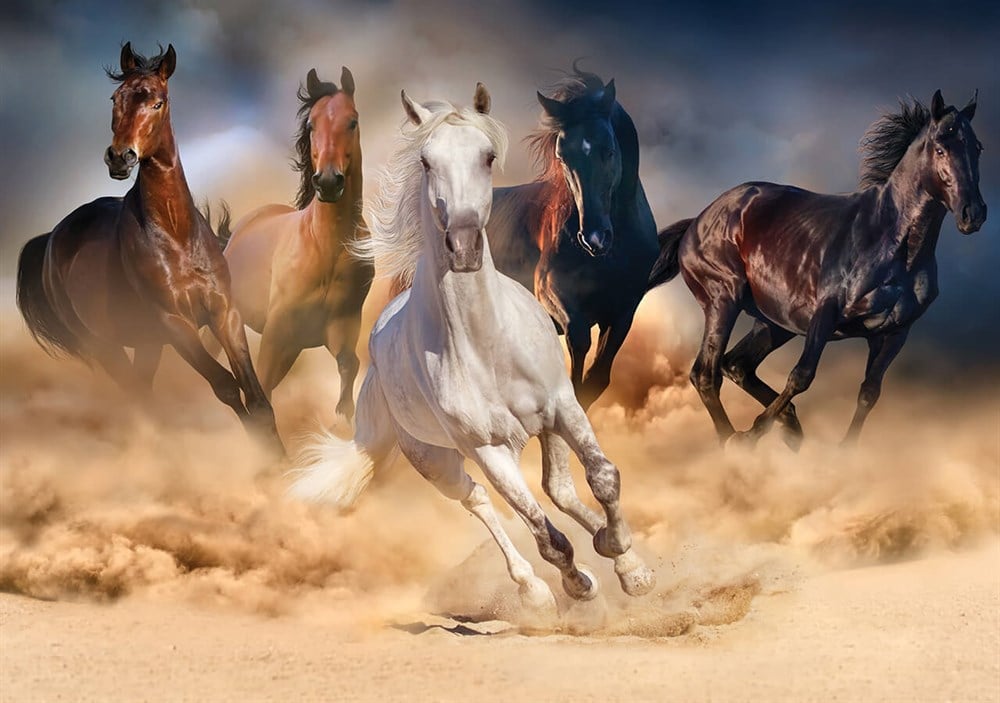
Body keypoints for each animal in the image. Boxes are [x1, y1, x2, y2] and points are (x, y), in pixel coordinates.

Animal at [14, 43, 282, 453]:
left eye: (158, 102)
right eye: (115, 98)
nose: (119, 157)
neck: (177, 235)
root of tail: (51, 239)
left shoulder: (224, 313)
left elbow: (256, 396)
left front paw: (283, 460)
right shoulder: (174, 323)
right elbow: (225, 387)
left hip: (146, 344)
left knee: (142, 391)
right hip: (104, 346)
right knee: (139, 397)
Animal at [220, 68, 371, 420]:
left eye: (352, 121)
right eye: (312, 124)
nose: (328, 181)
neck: (326, 248)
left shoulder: (340, 328)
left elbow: (349, 368)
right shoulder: (277, 333)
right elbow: (261, 391)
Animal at [475, 66, 660, 410]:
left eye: (609, 150)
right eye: (562, 157)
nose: (594, 238)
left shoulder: (623, 312)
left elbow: (597, 378)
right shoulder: (553, 292)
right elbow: (577, 344)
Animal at [649, 90, 986, 447]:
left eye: (977, 147)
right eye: (940, 148)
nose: (973, 213)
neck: (893, 245)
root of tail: (696, 221)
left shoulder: (895, 333)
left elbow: (869, 393)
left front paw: (841, 451)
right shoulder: (825, 314)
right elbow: (801, 376)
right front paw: (753, 434)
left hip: (774, 322)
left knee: (737, 365)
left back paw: (789, 425)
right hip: (722, 300)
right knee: (706, 373)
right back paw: (734, 440)